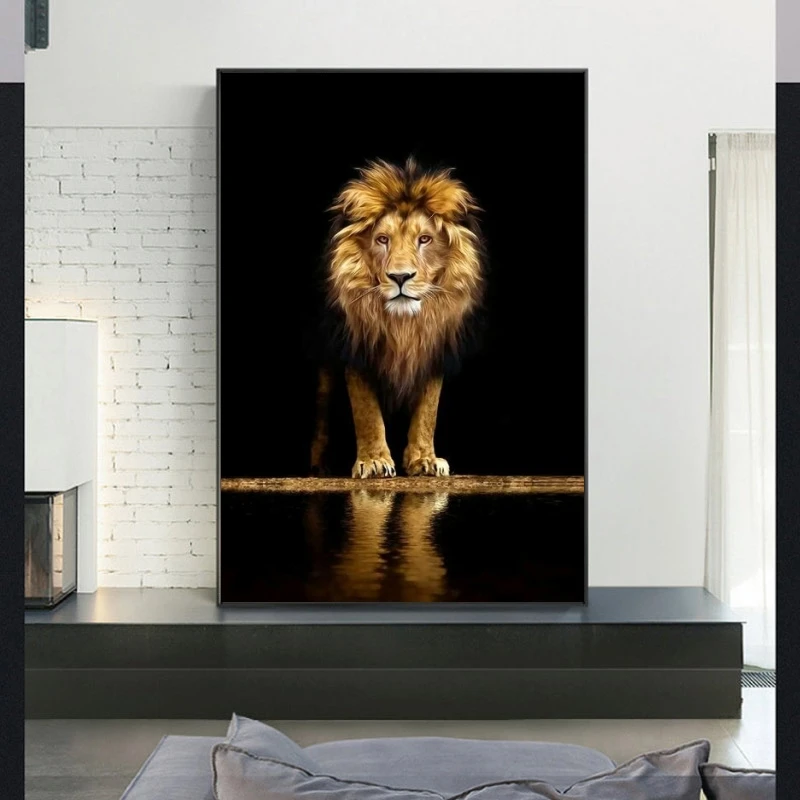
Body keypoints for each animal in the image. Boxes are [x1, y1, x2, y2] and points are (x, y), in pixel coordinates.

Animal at [310, 157, 486, 479]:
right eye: (382, 239)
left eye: (425, 239)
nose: (400, 277)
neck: (403, 324)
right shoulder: (357, 348)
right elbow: (366, 410)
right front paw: (374, 461)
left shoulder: (433, 348)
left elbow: (428, 410)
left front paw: (425, 460)